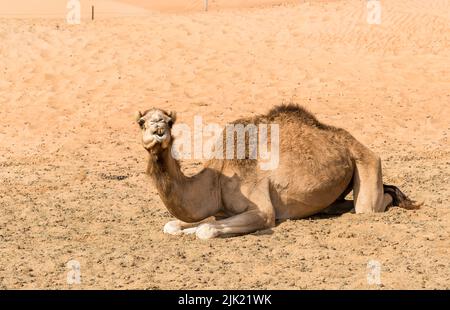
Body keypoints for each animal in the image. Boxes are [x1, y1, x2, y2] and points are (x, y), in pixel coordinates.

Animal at [136, 104, 418, 240]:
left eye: (169, 121)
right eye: (141, 122)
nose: (158, 130)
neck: (216, 177)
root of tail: (352, 141)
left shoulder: (261, 210)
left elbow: (205, 230)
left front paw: (194, 231)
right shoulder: (220, 210)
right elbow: (172, 224)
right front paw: (184, 228)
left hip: (366, 161)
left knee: (370, 205)